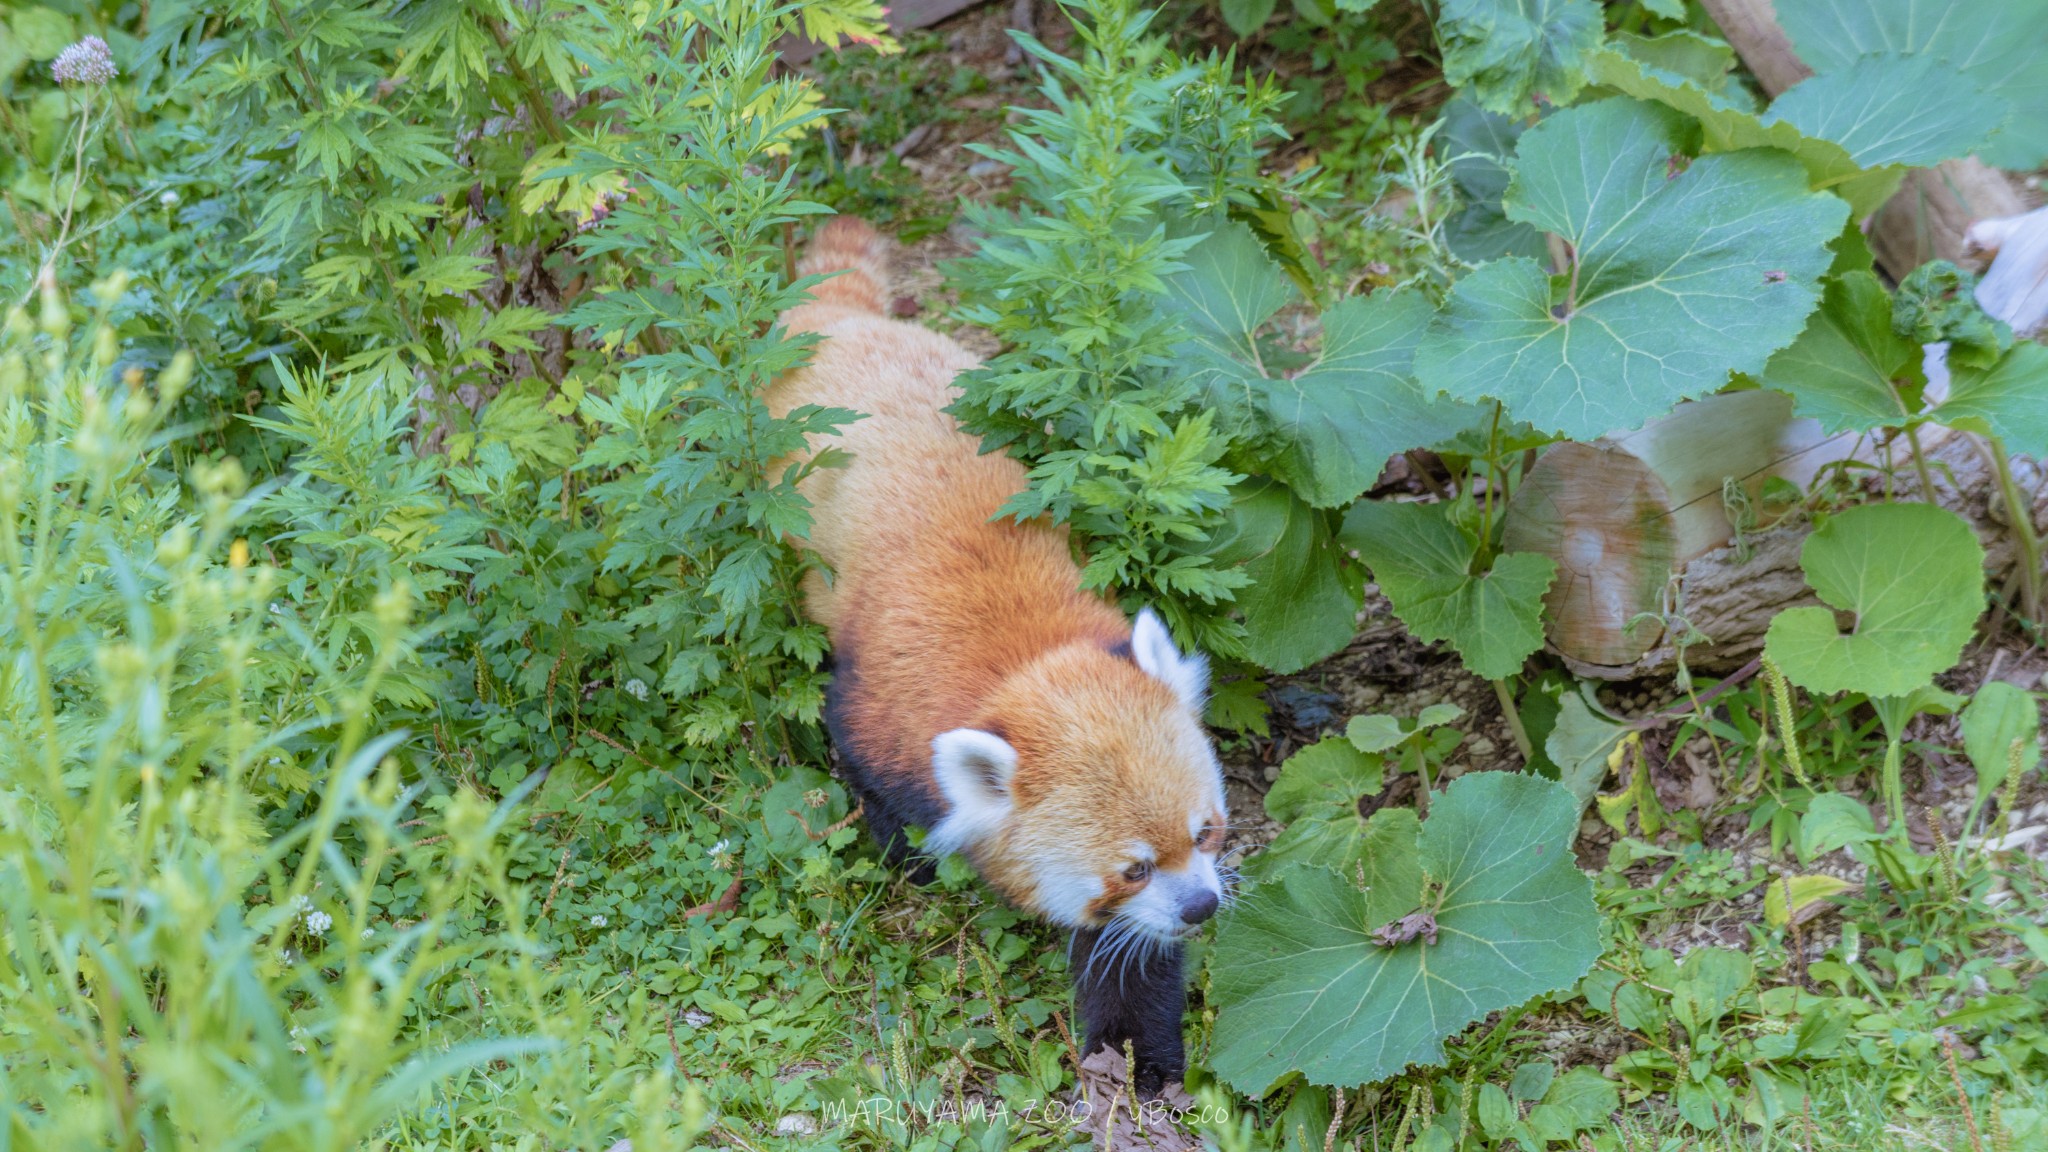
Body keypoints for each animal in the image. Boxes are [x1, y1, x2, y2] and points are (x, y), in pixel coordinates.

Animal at [761, 217, 1220, 1090]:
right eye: (1134, 868)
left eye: (1205, 832)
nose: (1203, 907)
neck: (1026, 660)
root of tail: (841, 323)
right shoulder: (877, 710)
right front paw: (910, 861)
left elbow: (1130, 962)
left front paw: (1137, 1064)